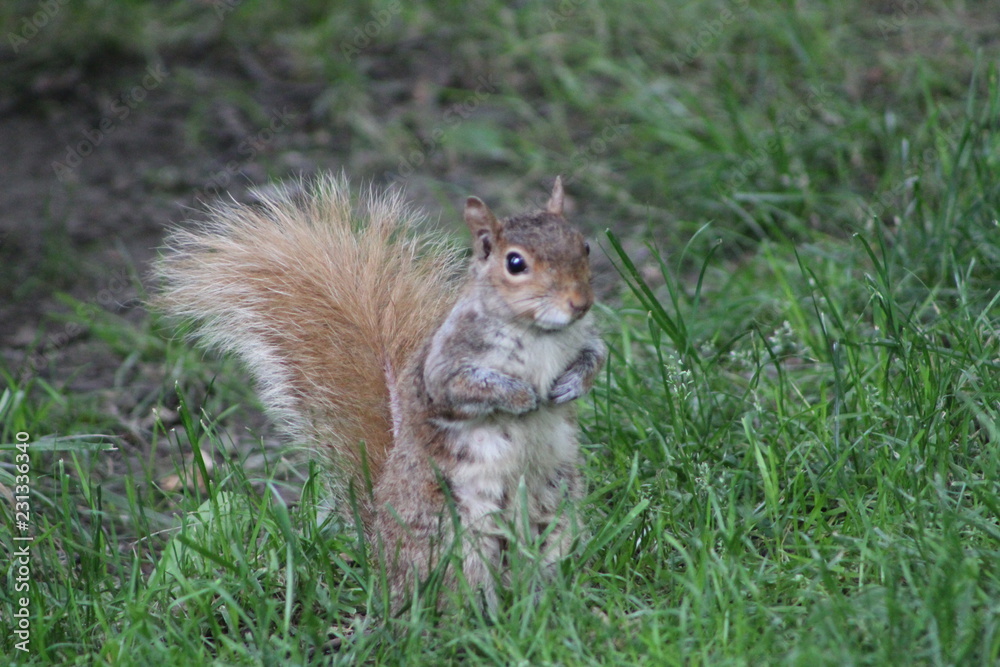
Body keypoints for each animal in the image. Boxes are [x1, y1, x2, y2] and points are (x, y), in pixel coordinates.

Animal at [155, 174, 606, 611]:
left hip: (558, 516)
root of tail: (382, 559)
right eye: (515, 263)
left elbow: (595, 358)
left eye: (584, 245)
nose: (579, 303)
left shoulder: (586, 338)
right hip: (456, 538)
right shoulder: (443, 366)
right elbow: (461, 389)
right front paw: (521, 396)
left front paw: (569, 384)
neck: (540, 333)